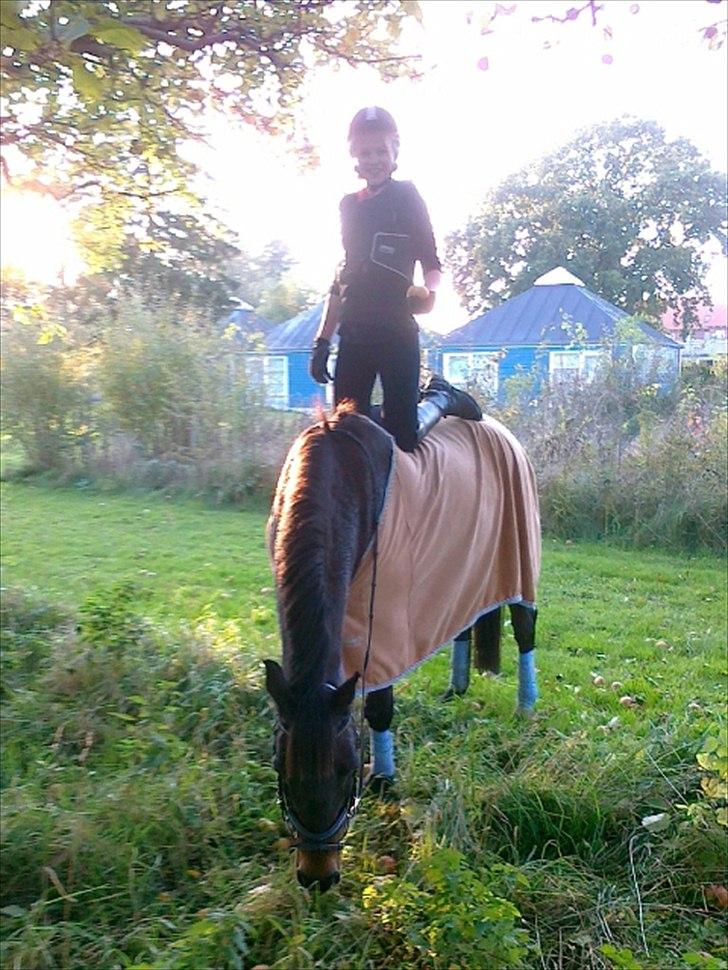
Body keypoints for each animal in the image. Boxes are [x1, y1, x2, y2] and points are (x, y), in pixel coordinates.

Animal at [264, 402, 536, 892]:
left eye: (346, 768)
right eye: (281, 767)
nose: (318, 876)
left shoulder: (383, 624)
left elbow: (378, 706)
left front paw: (384, 778)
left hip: (519, 561)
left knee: (526, 630)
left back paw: (527, 705)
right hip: (462, 575)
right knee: (461, 626)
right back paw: (456, 688)